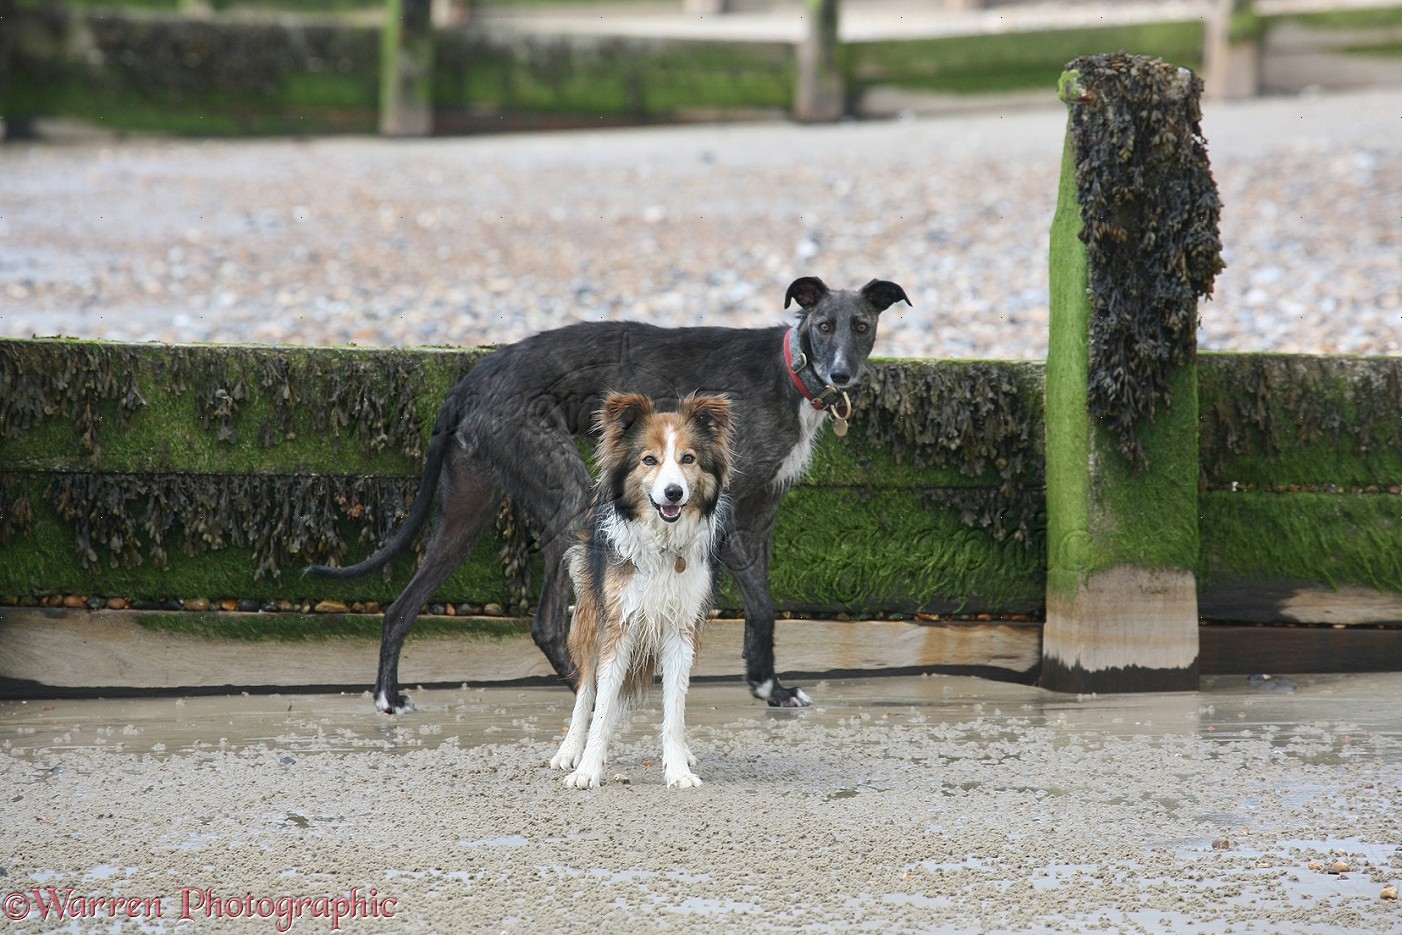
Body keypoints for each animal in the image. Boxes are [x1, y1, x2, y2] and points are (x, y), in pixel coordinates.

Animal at [307, 274, 908, 712]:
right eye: (824, 324)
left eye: (861, 325)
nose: (842, 375)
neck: (792, 370)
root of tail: (471, 380)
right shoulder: (727, 513)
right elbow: (759, 603)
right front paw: (763, 686)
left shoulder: (760, 517)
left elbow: (762, 603)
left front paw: (772, 687)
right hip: (569, 498)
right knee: (547, 623)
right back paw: (587, 687)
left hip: (466, 513)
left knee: (401, 607)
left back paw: (388, 696)